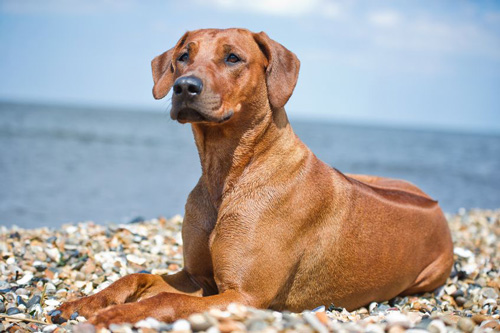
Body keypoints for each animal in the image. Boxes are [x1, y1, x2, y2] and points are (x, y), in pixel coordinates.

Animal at [53, 27, 454, 326]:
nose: (185, 86)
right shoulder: (196, 277)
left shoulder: (243, 295)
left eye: (233, 57)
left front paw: (115, 315)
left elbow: (164, 299)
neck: (227, 172)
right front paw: (85, 302)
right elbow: (138, 276)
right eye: (183, 55)